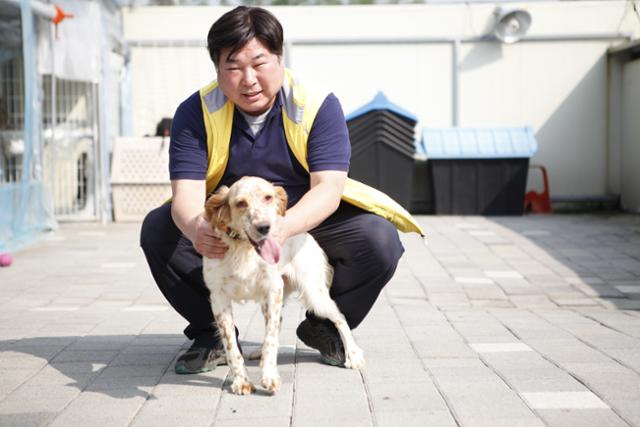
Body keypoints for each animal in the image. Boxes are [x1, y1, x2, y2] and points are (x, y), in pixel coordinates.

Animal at [205, 176, 364, 394]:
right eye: (240, 203)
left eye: (268, 197)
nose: (265, 227)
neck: (244, 249)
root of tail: (307, 234)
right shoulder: (219, 298)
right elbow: (231, 346)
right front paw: (241, 381)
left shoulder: (273, 289)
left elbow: (271, 338)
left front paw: (270, 376)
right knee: (278, 322)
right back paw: (259, 352)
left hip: (314, 294)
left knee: (339, 317)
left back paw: (353, 355)